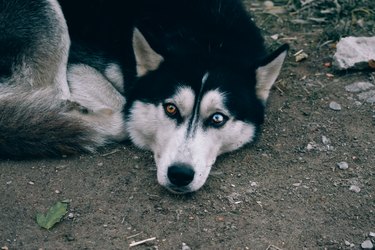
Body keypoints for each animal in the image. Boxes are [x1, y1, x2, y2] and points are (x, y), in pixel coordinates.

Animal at [0, 0, 288, 193]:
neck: (208, 38)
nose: (180, 175)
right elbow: (125, 107)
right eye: (171, 109)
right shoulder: (78, 63)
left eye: (218, 118)